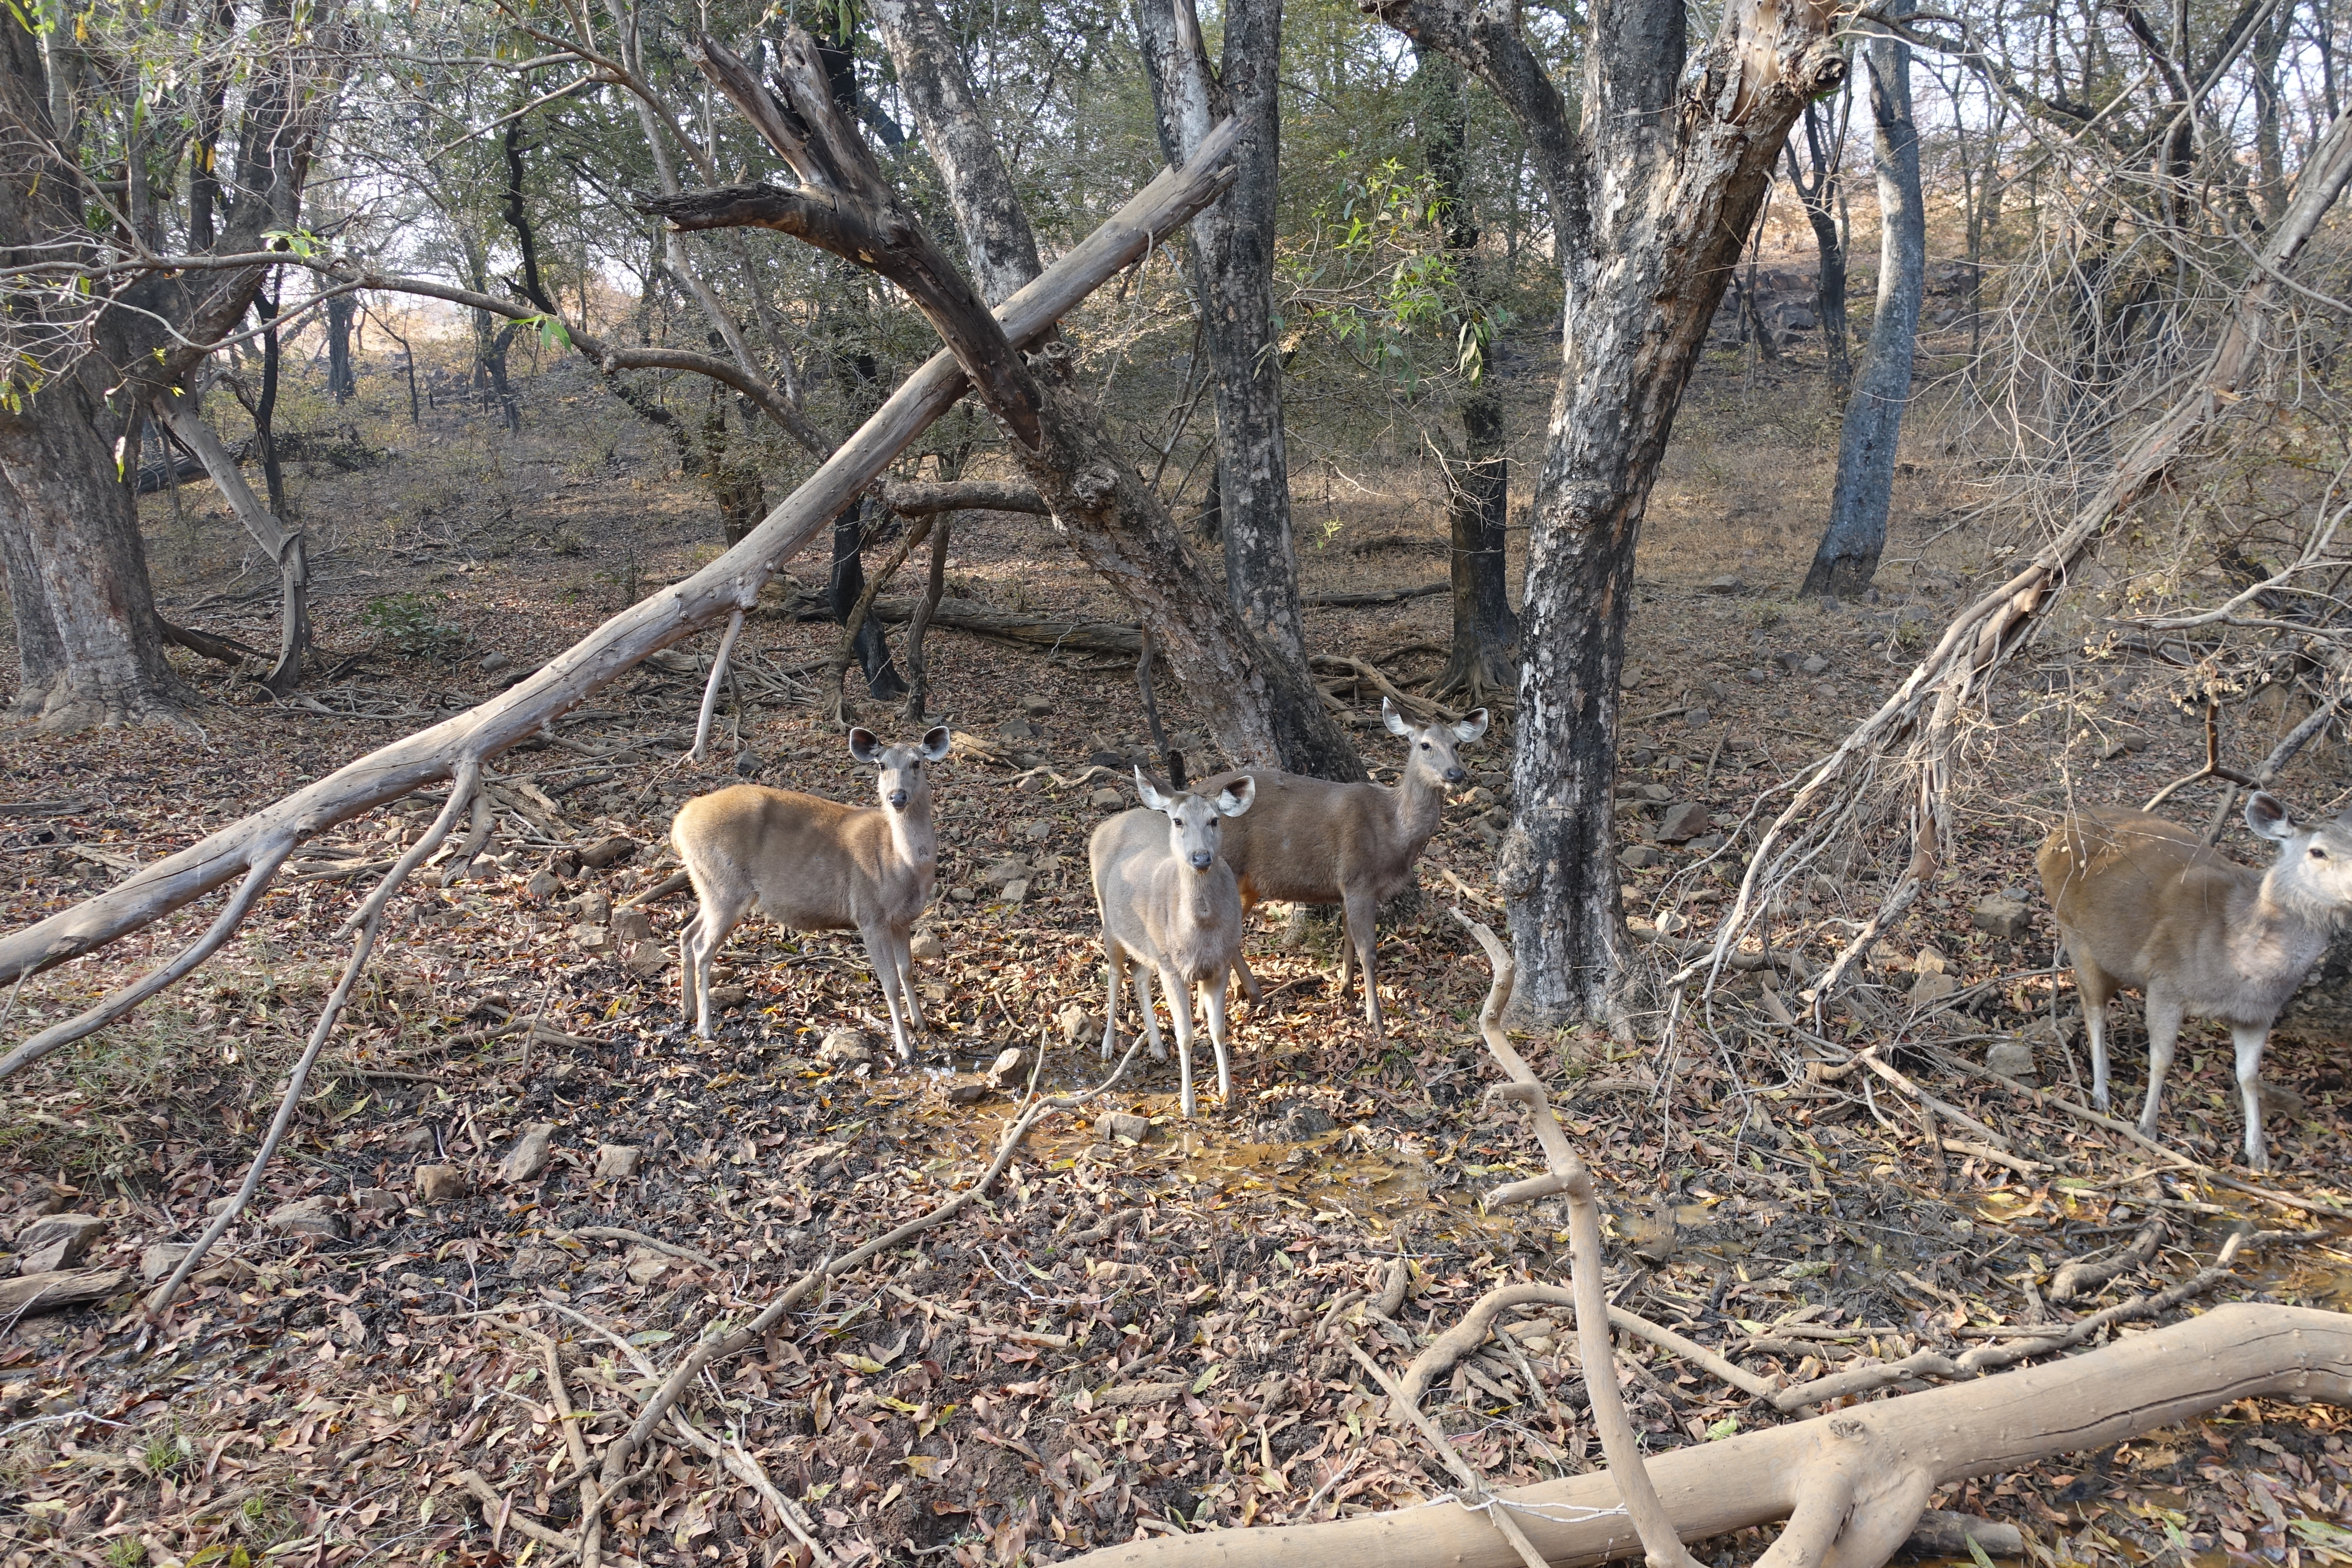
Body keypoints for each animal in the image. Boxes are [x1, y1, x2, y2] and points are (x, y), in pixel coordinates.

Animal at [668, 729, 950, 1063]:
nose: (897, 797)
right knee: (702, 946)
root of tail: (678, 825)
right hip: (724, 887)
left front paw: (922, 1023)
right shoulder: (870, 914)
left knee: (687, 933)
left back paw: (687, 1011)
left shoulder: (902, 919)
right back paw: (705, 1028)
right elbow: (890, 983)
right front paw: (905, 1049)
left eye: (917, 763)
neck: (902, 865)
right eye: (882, 765)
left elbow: (908, 971)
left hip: (708, 886)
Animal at [1091, 771, 1260, 1114]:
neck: (1200, 933)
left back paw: (1157, 1048)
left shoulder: (1220, 963)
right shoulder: (1172, 968)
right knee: (1115, 974)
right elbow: (1185, 1035)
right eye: (1178, 821)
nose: (1201, 857)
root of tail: (1103, 828)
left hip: (1148, 946)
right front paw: (1188, 1104)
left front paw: (1228, 1094)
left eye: (1214, 820)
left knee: (1139, 974)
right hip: (1109, 921)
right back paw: (1107, 1046)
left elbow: (1218, 1030)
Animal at [1194, 695, 1486, 1034]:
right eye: (1425, 745)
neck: (1392, 832)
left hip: (1247, 883)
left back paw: (1246, 995)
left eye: (1457, 744)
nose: (1456, 774)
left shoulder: (1347, 887)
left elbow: (1348, 938)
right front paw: (1377, 1020)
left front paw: (1346, 993)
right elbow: (1368, 950)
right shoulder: (1358, 877)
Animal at [2032, 790, 2352, 1170]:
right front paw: (2148, 1126)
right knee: (2093, 1008)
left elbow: (2249, 1076)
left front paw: (2258, 1153)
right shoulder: (2165, 983)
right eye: (2317, 852)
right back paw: (2100, 1093)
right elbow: (2162, 1059)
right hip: (2074, 931)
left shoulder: (2261, 1013)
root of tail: (2051, 838)